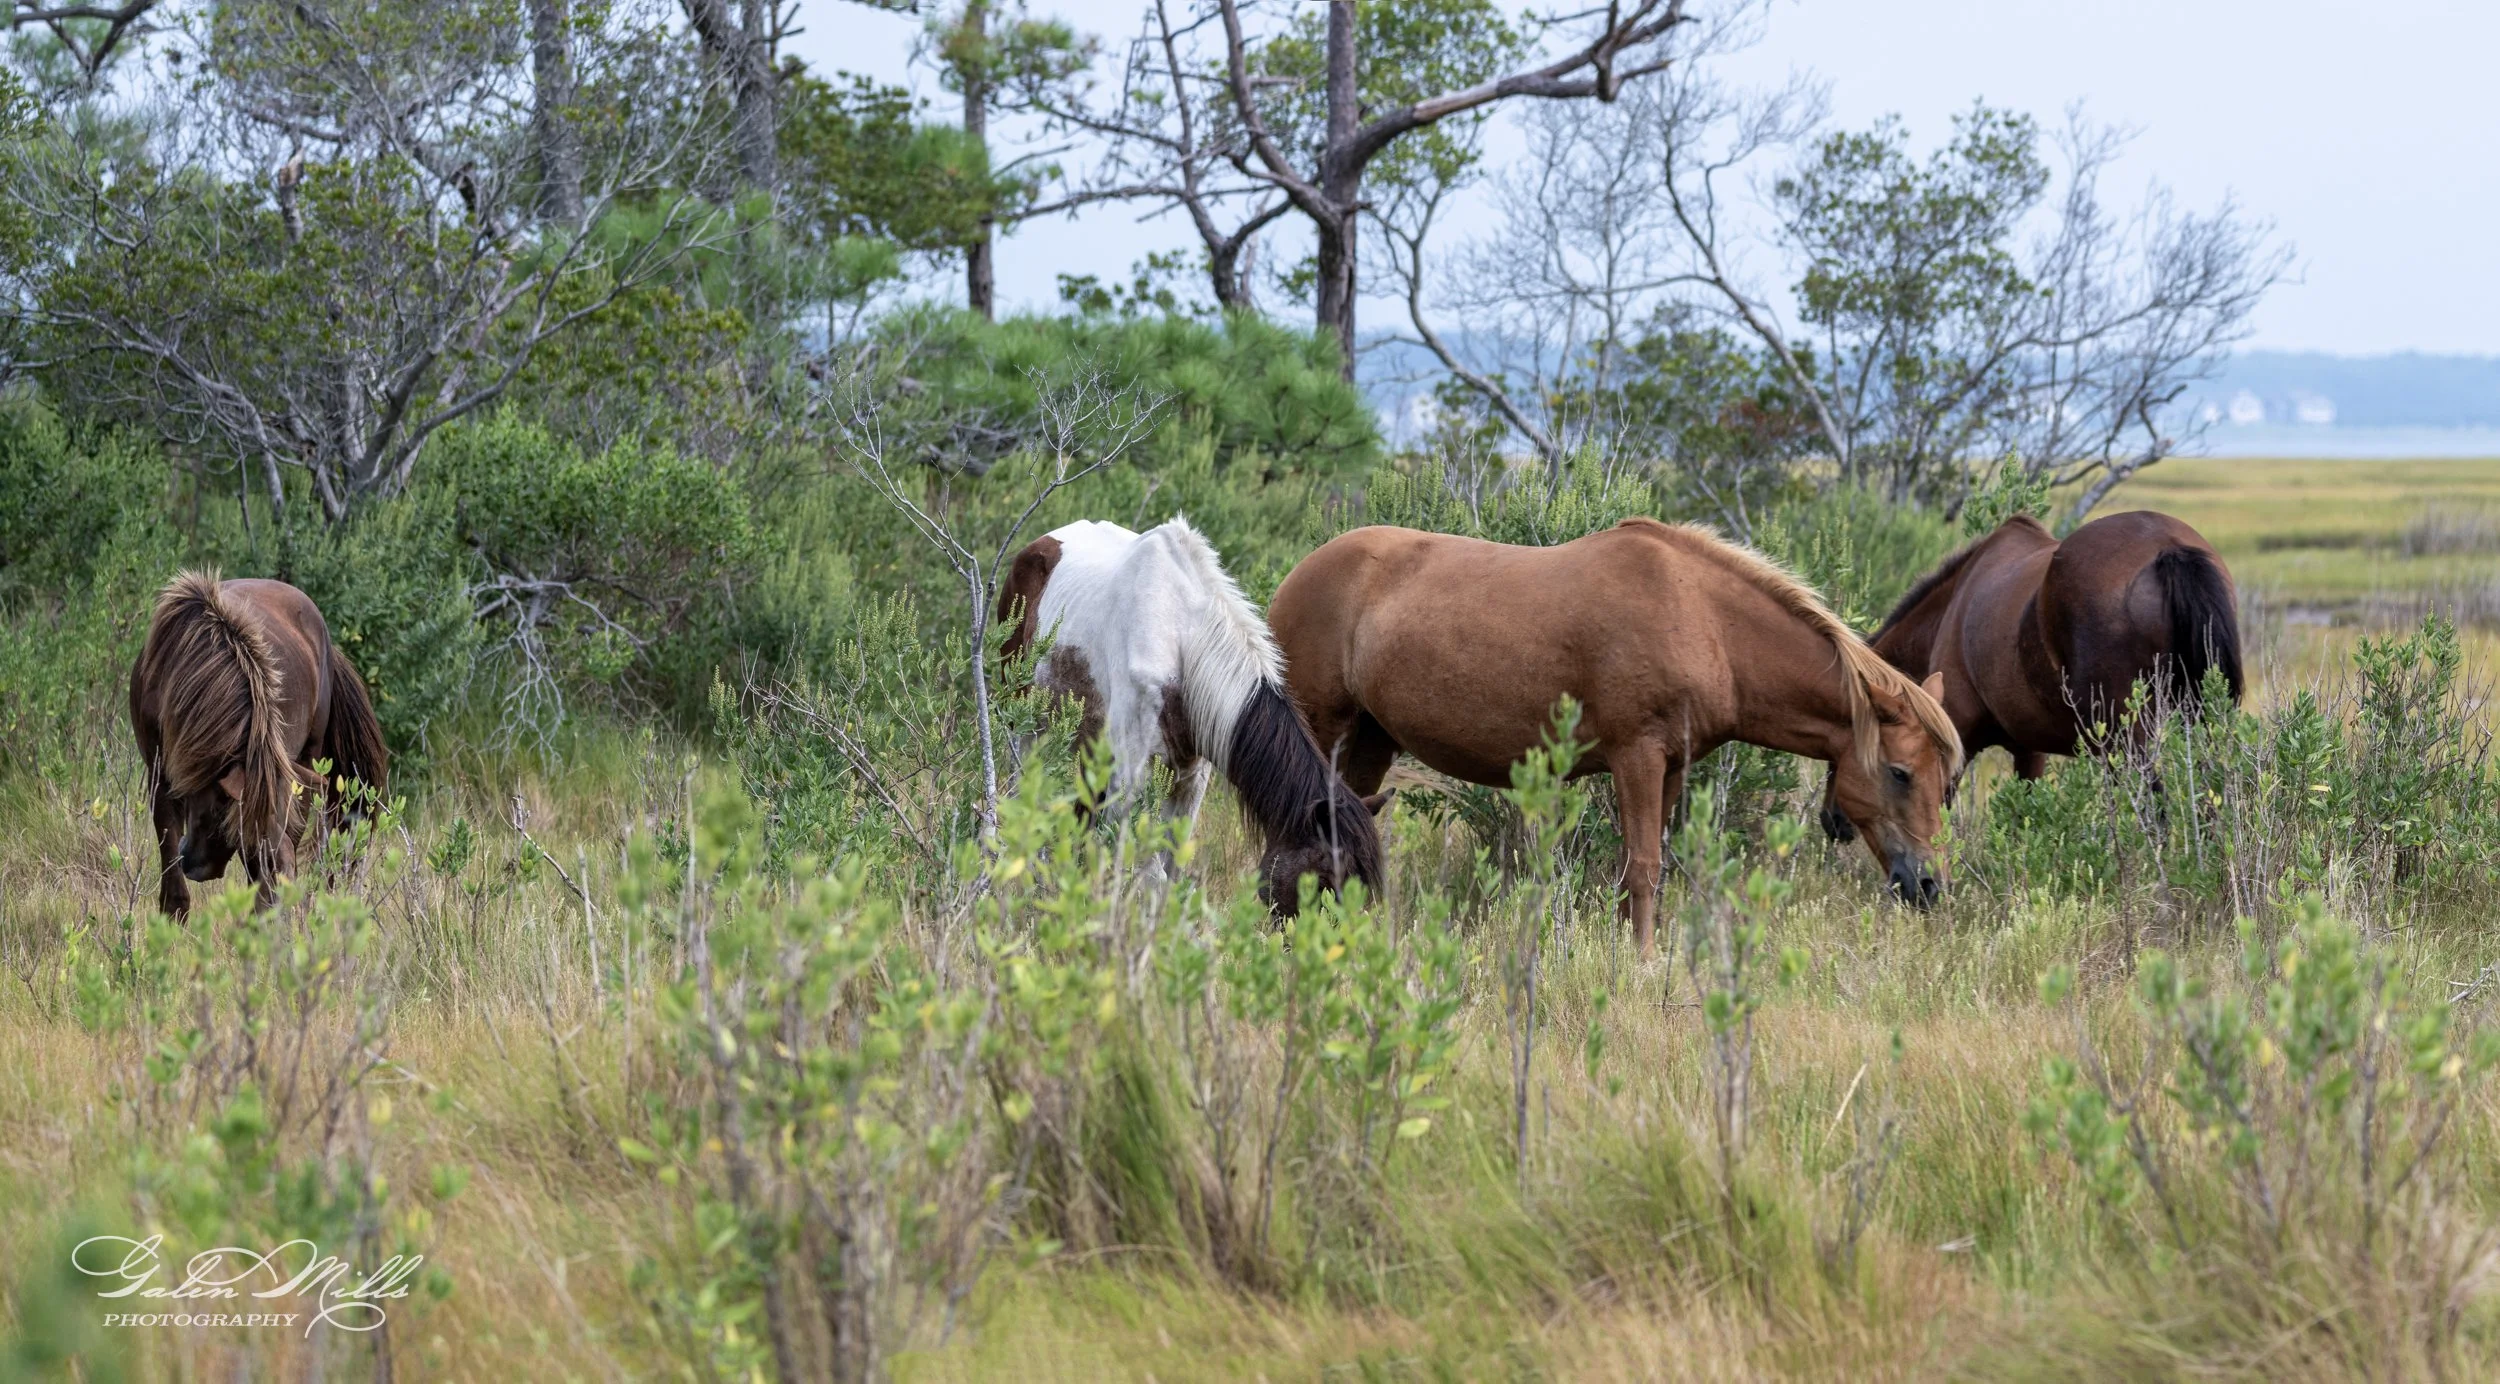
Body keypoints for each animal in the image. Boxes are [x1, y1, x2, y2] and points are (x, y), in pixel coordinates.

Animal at [997, 517, 1386, 912]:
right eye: (1322, 882)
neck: (1180, 638)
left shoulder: (1190, 780)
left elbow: (1169, 872)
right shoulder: (1131, 778)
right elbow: (1146, 872)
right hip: (1025, 732)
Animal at [1267, 517, 1963, 953]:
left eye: (1948, 782)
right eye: (1900, 773)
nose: (1930, 885)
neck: (1703, 617)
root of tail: (1298, 574)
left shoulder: (1673, 767)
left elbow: (1650, 866)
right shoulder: (1637, 757)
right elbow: (1643, 867)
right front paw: (1642, 962)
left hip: (1369, 744)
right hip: (1322, 730)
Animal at [1818, 509, 2242, 844]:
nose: (1830, 820)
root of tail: (2166, 547)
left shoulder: (1952, 736)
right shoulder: (2029, 750)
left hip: (2127, 740)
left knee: (2155, 810)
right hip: (2203, 720)